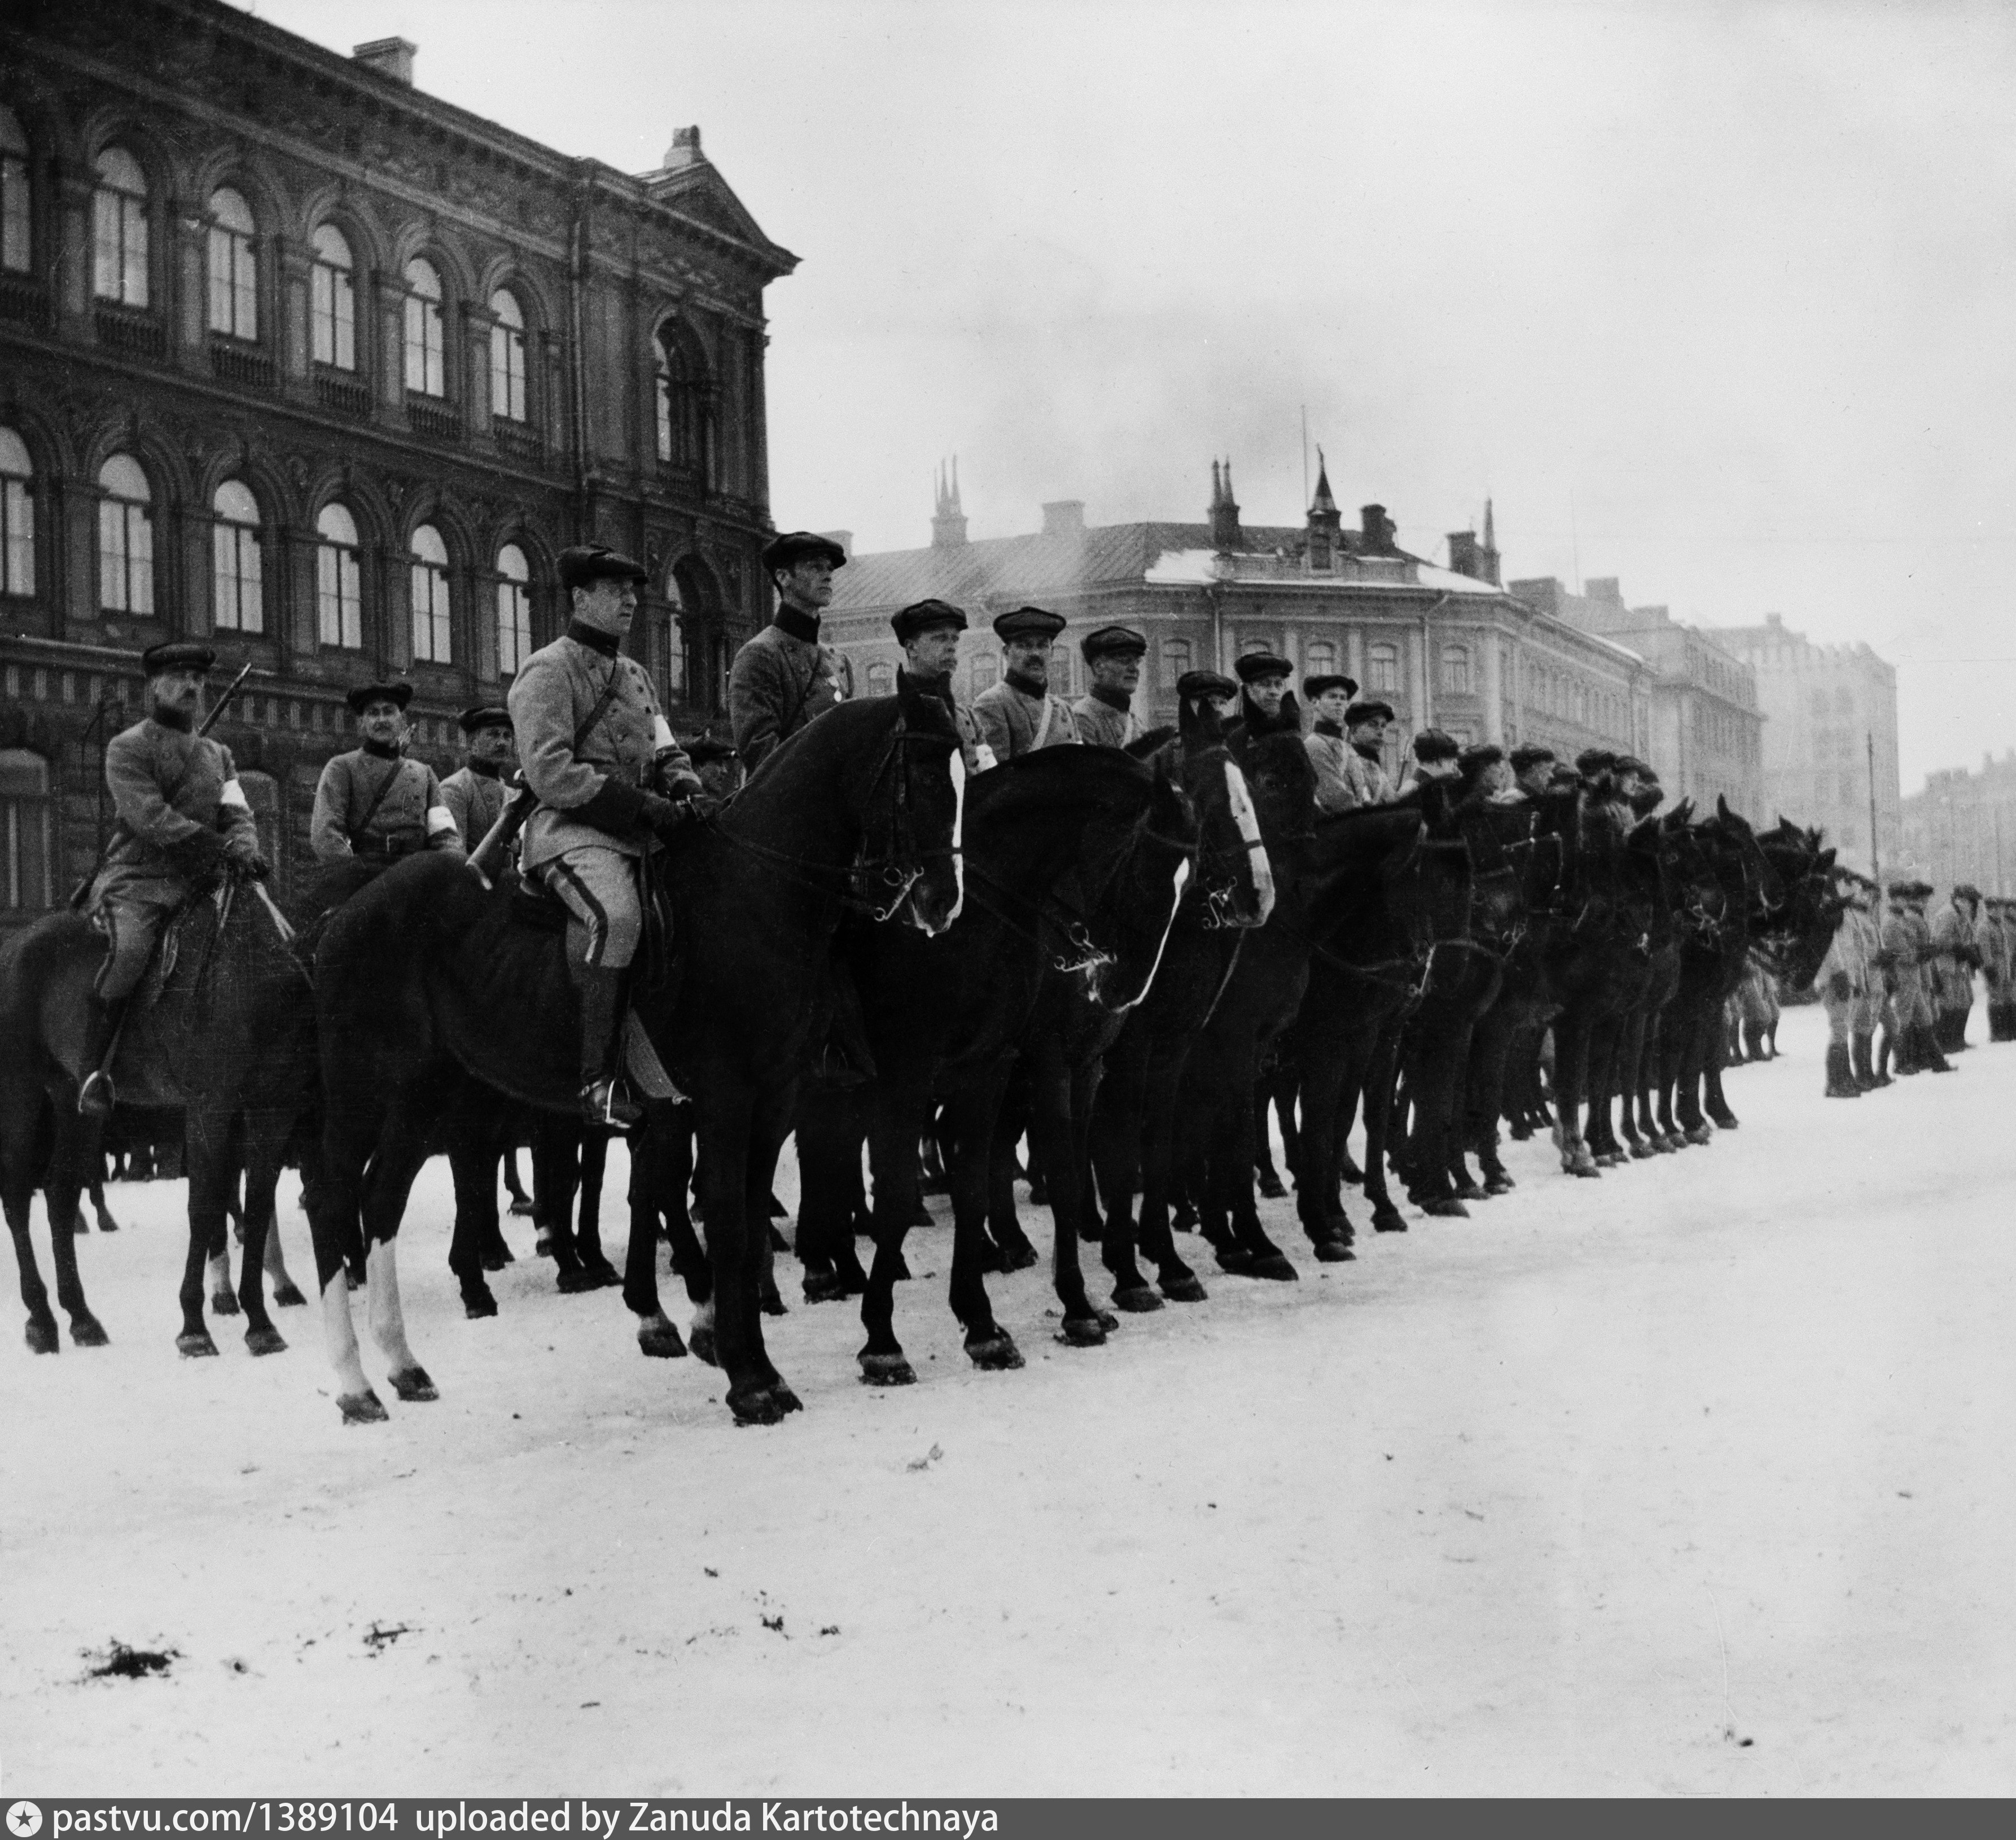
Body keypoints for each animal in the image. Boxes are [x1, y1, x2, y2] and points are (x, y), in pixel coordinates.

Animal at [0, 870, 314, 1354]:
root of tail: (16, 946)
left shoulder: (272, 1113)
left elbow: (259, 1208)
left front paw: (260, 1321)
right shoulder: (210, 1110)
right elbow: (205, 1207)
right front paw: (195, 1326)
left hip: (73, 1105)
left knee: (59, 1194)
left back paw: (81, 1318)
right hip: (22, 1092)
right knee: (18, 1195)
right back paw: (40, 1319)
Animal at [308, 685, 967, 1418]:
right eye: (920, 779)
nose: (942, 900)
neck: (753, 889)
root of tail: (348, 911)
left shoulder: (772, 1101)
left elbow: (741, 1220)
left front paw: (754, 1362)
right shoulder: (724, 1099)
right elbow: (724, 1221)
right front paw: (747, 1378)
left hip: (425, 1095)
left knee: (381, 1201)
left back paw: (401, 1363)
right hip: (363, 1091)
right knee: (333, 1200)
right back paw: (353, 1380)